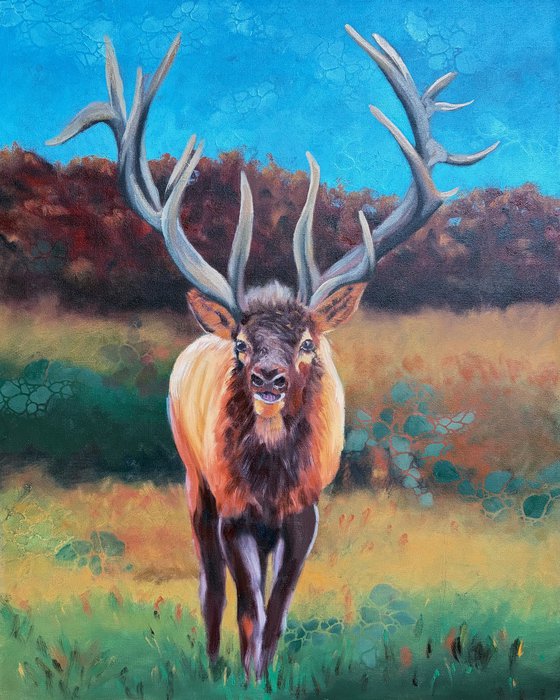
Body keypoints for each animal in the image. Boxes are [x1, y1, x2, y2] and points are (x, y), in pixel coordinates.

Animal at [47, 24, 497, 680]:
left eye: (308, 341)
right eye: (240, 342)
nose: (267, 378)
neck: (269, 481)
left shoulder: (306, 512)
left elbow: (279, 610)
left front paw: (266, 673)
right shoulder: (233, 509)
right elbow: (248, 608)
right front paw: (246, 676)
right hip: (193, 478)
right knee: (209, 585)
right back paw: (212, 661)